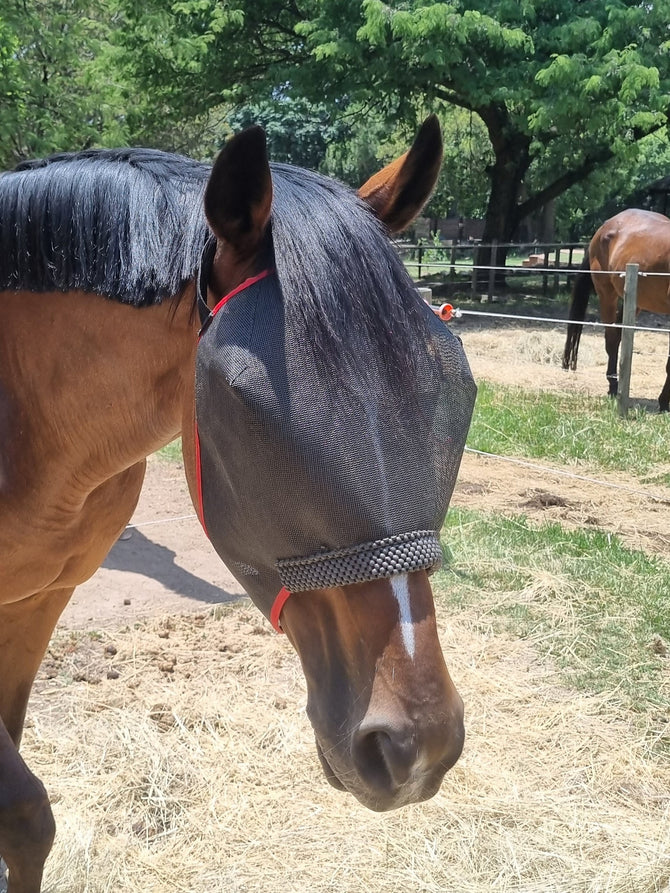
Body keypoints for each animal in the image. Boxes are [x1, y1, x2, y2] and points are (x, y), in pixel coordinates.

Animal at [0, 116, 477, 893]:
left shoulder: (37, 602)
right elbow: (24, 814)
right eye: (250, 408)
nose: (419, 745)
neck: (22, 412)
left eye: (454, 391)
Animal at [562, 208, 670, 412]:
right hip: (607, 294)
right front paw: (664, 402)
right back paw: (614, 386)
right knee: (611, 339)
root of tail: (604, 227)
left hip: (634, 302)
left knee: (619, 336)